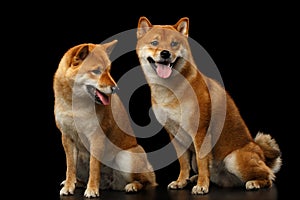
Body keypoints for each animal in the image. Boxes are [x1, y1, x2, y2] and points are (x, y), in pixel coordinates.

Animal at [53, 39, 158, 198]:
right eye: (96, 71)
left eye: (108, 70)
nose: (115, 88)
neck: (75, 105)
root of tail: (109, 184)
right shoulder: (67, 138)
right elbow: (70, 168)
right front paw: (69, 186)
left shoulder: (96, 138)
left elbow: (94, 167)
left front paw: (91, 189)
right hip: (82, 158)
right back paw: (78, 183)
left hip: (125, 157)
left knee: (146, 182)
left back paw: (132, 186)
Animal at [136, 16, 282, 195]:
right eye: (155, 42)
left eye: (174, 44)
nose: (165, 53)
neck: (170, 89)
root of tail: (261, 153)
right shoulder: (175, 134)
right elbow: (183, 163)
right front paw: (181, 181)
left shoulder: (200, 132)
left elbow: (202, 161)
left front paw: (202, 185)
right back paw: (194, 179)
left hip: (233, 159)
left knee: (268, 177)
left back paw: (255, 182)